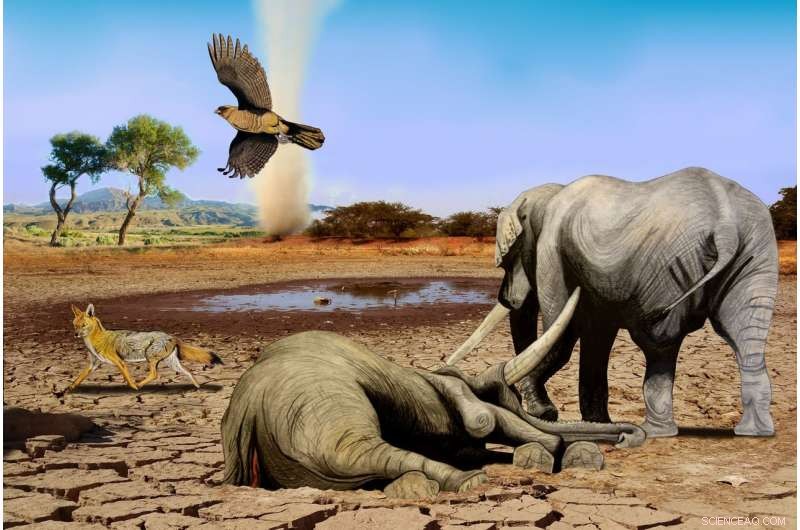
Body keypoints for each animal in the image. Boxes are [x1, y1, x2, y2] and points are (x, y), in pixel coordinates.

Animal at [221, 293, 646, 497]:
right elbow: (493, 423)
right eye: (499, 393)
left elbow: (479, 443)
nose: (631, 434)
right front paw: (564, 455)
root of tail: (248, 409)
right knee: (358, 452)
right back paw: (466, 484)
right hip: (318, 407)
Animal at [448, 167, 778, 438]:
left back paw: (655, 431)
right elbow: (596, 335)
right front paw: (596, 422)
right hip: (757, 247)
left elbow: (563, 335)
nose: (506, 298)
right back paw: (753, 433)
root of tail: (725, 225)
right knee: (745, 335)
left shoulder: (552, 249)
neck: (552, 192)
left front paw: (543, 414)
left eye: (509, 259)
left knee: (659, 341)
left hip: (665, 262)